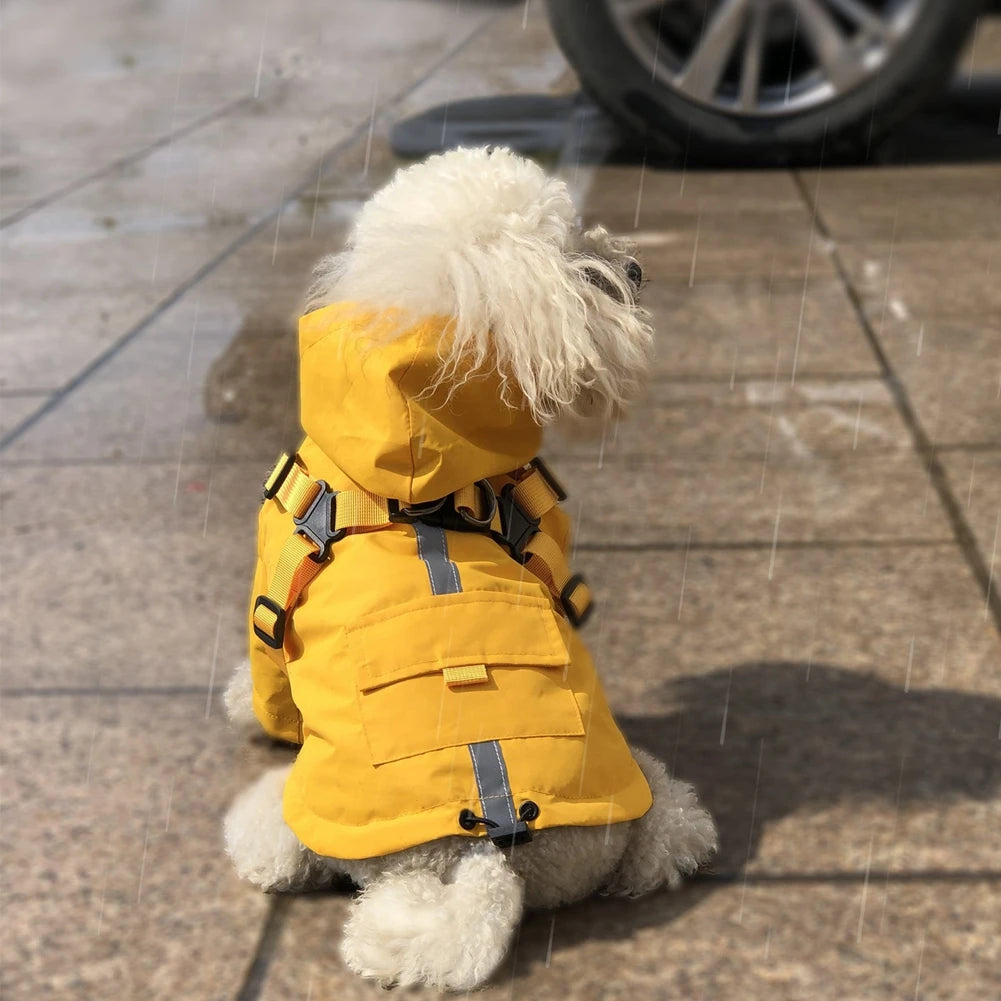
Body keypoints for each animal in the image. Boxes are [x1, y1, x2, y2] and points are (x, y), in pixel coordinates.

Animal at [223, 146, 716, 992]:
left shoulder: (270, 601)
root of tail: (490, 849)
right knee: (667, 822)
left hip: (307, 814)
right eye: (573, 254)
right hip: (629, 797)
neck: (421, 471)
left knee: (280, 847)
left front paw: (236, 702)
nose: (636, 267)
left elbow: (266, 688)